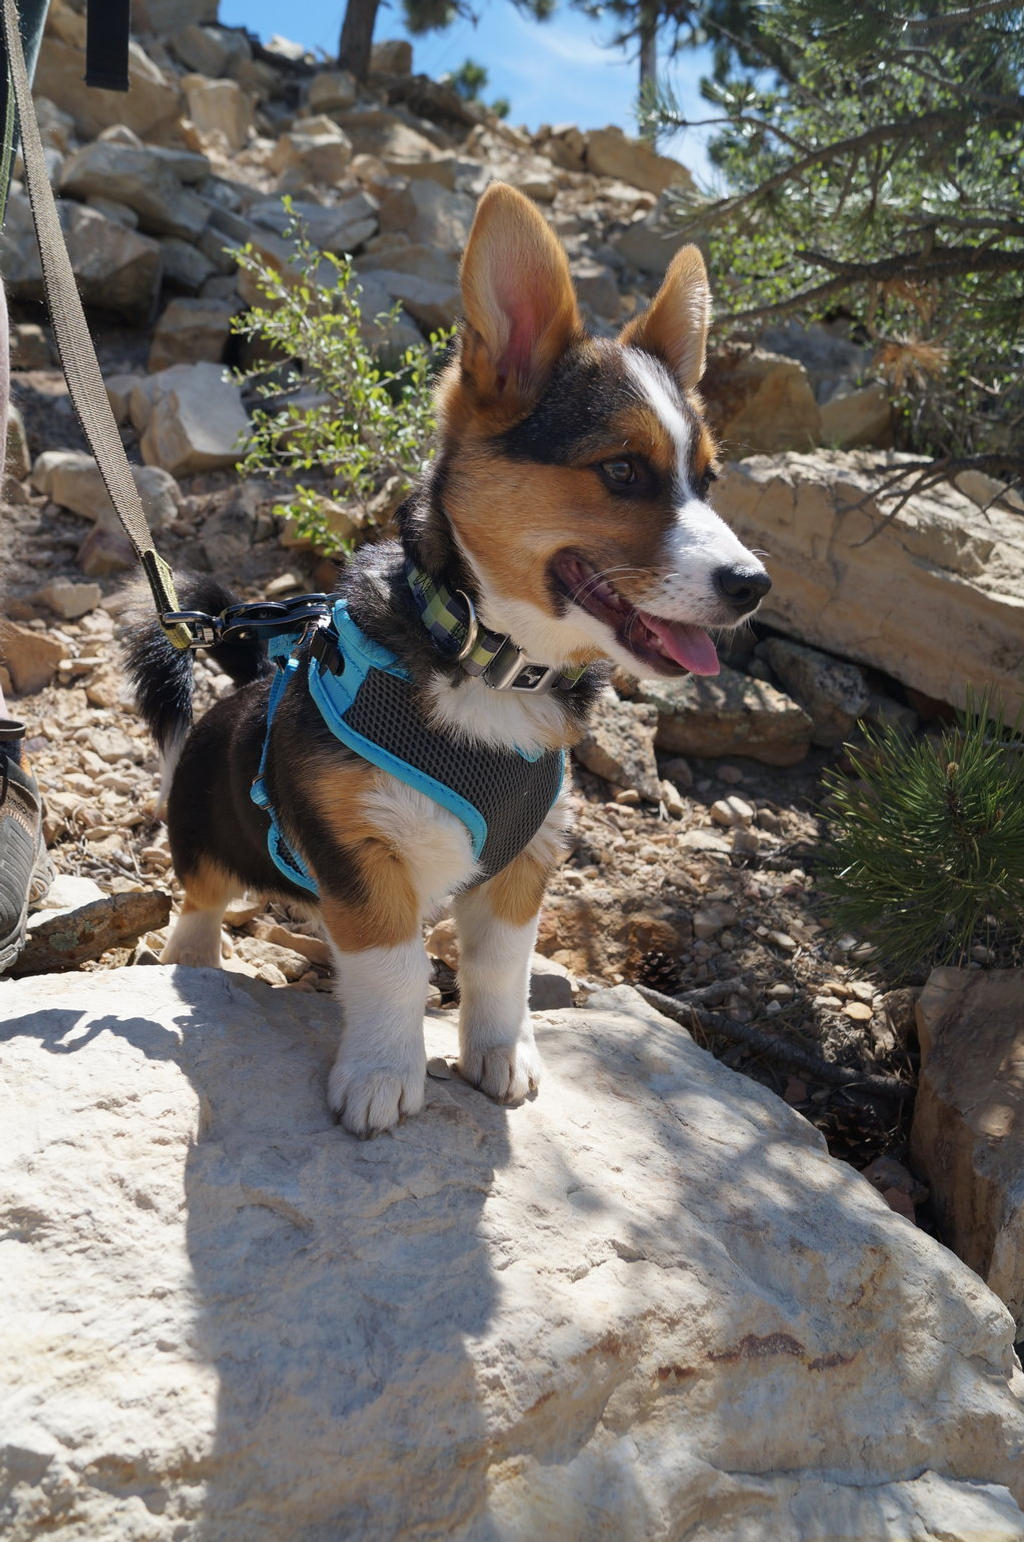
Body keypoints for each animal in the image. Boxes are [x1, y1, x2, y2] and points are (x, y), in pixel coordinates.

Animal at [125, 186, 768, 1141]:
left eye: (710, 479)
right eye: (621, 470)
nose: (754, 585)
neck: (490, 664)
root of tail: (237, 690)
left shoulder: (524, 863)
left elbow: (501, 970)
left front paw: (502, 1056)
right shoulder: (360, 858)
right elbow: (390, 966)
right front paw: (382, 1074)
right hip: (205, 836)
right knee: (199, 903)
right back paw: (198, 962)